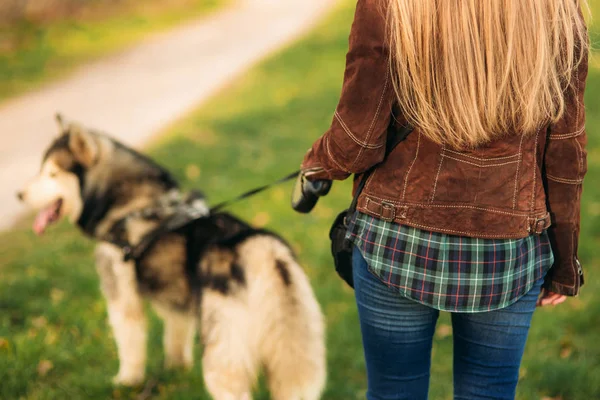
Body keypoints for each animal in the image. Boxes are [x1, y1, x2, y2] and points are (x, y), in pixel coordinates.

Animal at [18, 115, 326, 400]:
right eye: (42, 170)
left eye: (52, 174)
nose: (18, 194)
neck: (131, 207)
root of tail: (258, 245)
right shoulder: (176, 305)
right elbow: (175, 336)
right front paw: (177, 367)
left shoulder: (122, 298)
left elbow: (129, 345)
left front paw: (126, 381)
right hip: (294, 355)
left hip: (223, 355)